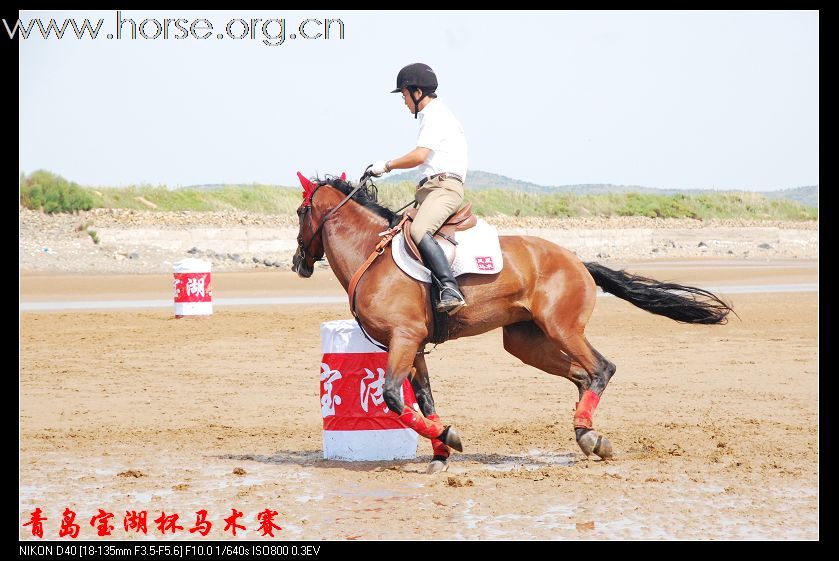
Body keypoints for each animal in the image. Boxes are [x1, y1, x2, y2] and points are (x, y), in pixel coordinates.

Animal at [292, 173, 732, 470]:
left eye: (300, 211)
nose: (297, 263)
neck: (371, 253)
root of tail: (578, 260)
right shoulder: (412, 346)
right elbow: (426, 401)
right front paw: (441, 452)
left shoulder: (404, 338)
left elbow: (394, 398)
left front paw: (450, 439)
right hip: (526, 342)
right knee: (582, 375)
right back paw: (587, 434)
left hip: (562, 329)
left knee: (601, 368)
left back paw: (589, 434)